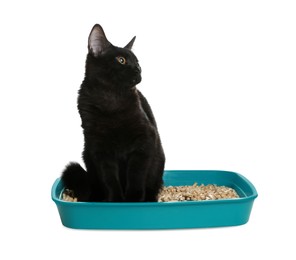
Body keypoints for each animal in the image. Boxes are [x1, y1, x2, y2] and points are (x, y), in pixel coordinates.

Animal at [61, 24, 165, 202]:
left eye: (137, 62)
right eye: (121, 60)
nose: (138, 69)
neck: (111, 97)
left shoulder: (144, 140)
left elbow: (136, 174)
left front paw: (133, 199)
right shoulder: (99, 148)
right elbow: (109, 178)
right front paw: (115, 200)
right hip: (87, 156)